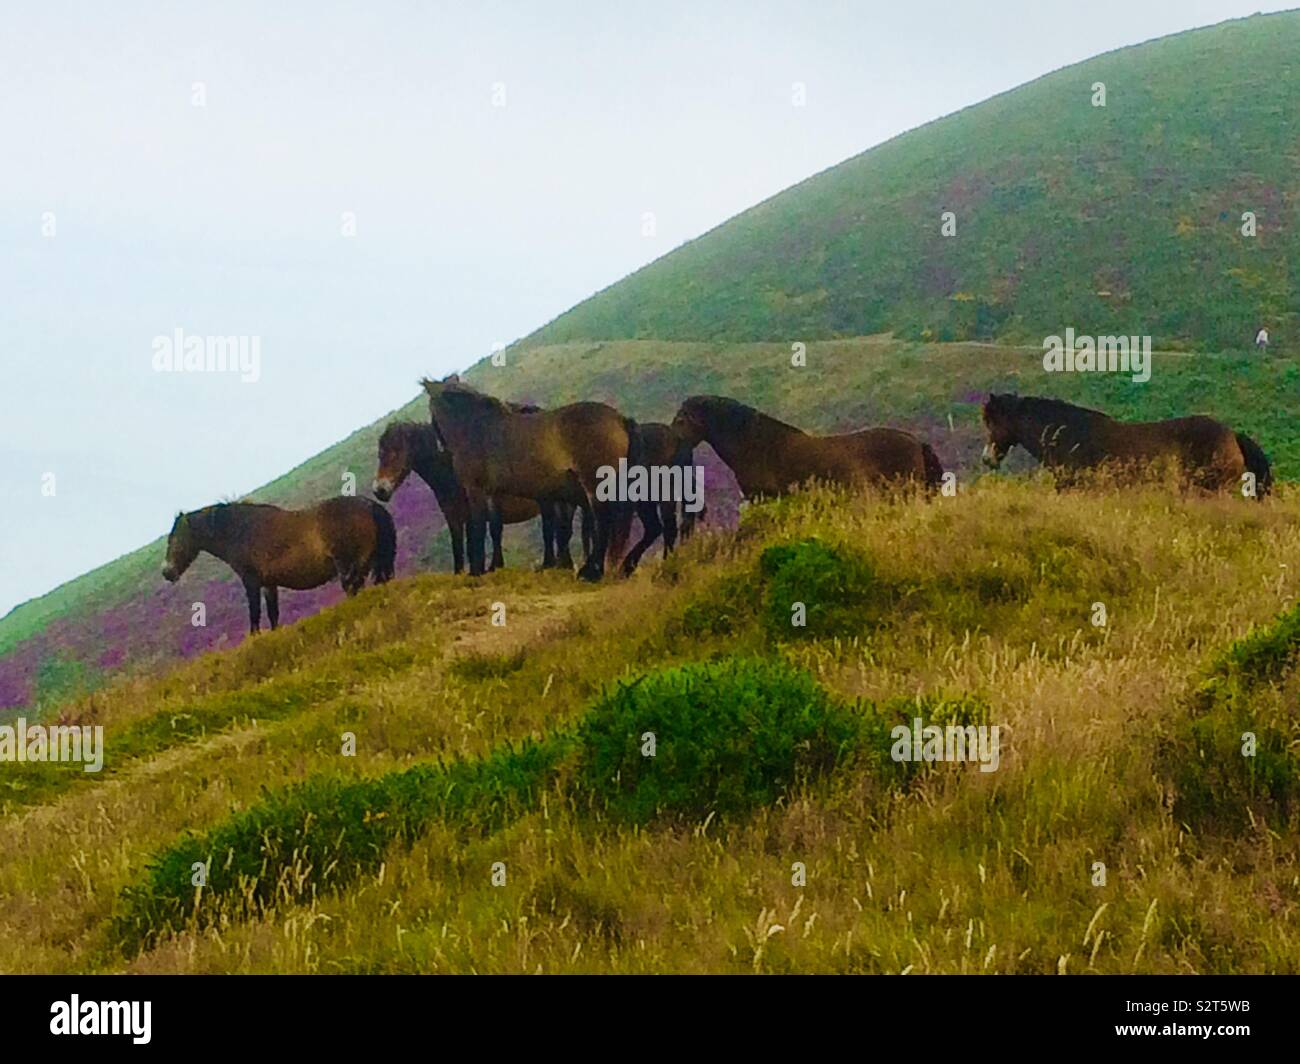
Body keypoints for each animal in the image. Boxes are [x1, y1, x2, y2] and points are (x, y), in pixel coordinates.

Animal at [159, 494, 390, 634]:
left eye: (175, 539)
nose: (167, 572)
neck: (241, 531)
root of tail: (368, 504)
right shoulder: (269, 584)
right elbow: (273, 614)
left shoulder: (251, 582)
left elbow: (254, 613)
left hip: (350, 567)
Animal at [371, 421, 585, 572]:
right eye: (380, 453)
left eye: (396, 452)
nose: (379, 490)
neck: (452, 470)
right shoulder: (455, 515)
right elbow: (459, 544)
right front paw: (462, 572)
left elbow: (480, 538)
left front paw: (486, 568)